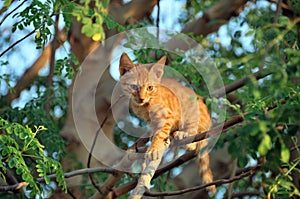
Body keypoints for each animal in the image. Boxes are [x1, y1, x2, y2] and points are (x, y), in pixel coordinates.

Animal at [119, 51, 216, 193]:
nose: (141, 98)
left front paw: (154, 148)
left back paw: (183, 134)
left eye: (150, 88)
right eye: (134, 87)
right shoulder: (150, 120)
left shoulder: (168, 115)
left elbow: (161, 132)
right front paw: (153, 138)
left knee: (195, 141)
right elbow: (156, 130)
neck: (145, 106)